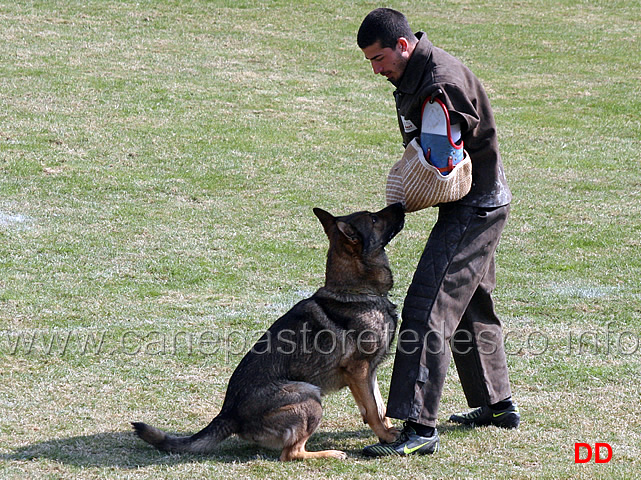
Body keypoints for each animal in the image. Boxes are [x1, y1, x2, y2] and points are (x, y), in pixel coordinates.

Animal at [132, 202, 402, 458]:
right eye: (374, 218)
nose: (400, 204)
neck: (355, 291)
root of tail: (228, 414)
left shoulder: (369, 372)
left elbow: (379, 406)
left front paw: (388, 431)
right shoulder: (359, 370)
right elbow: (372, 409)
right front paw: (387, 438)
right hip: (310, 395)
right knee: (290, 454)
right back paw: (329, 454)